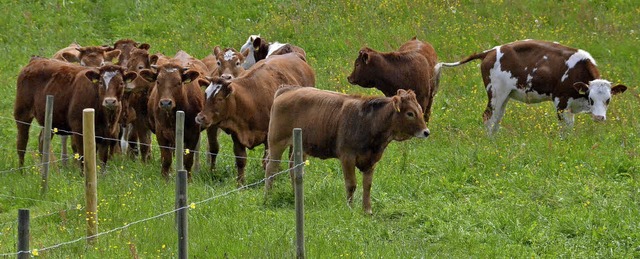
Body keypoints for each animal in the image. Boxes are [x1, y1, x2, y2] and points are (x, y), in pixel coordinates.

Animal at [195, 52, 316, 186]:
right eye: (205, 95)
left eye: (219, 99)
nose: (200, 118)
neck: (251, 99)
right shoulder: (237, 134)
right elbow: (241, 160)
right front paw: (240, 184)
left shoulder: (269, 136)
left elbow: (266, 161)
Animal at [264, 87, 430, 215]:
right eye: (410, 113)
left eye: (420, 110)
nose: (426, 132)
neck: (369, 122)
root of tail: (288, 89)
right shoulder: (347, 157)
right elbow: (351, 184)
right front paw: (350, 208)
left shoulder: (372, 160)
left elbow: (367, 185)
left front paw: (367, 210)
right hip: (276, 142)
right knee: (271, 168)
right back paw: (268, 196)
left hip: (300, 146)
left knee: (294, 168)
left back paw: (296, 196)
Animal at [438, 40, 628, 136]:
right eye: (591, 98)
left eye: (608, 100)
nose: (599, 117)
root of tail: (490, 51)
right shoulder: (560, 101)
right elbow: (566, 127)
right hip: (496, 94)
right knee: (488, 117)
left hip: (504, 95)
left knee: (497, 117)